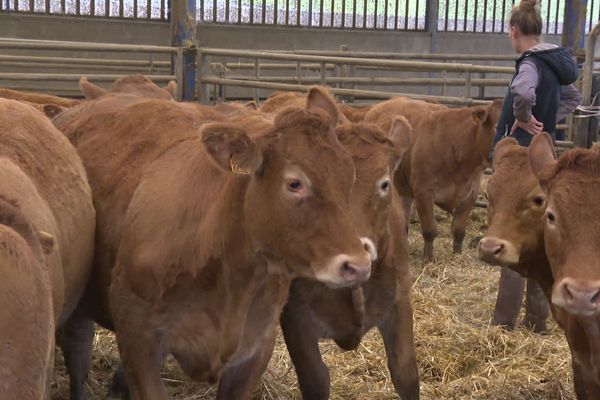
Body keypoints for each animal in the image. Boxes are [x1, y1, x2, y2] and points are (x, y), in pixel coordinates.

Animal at [280, 119, 418, 400]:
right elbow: (315, 380)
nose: (355, 253)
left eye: (384, 184)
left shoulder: (399, 300)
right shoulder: (294, 315)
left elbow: (405, 373)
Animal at [366, 99, 502, 262]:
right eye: (496, 126)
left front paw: (458, 254)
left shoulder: (471, 193)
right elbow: (430, 229)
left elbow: (459, 229)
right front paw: (428, 259)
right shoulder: (424, 192)